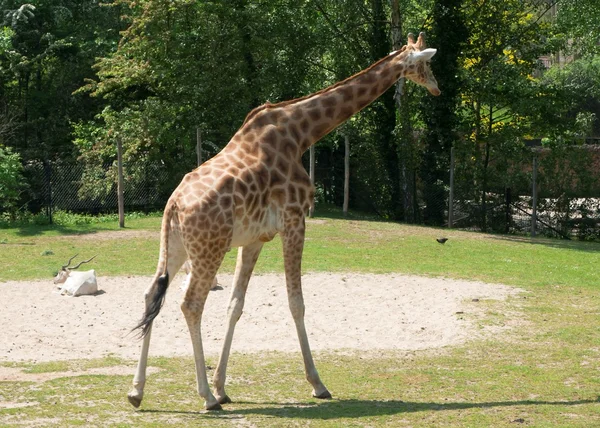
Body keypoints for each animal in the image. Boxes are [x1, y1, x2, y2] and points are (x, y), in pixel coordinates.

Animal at [127, 31, 440, 410]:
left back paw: (137, 391)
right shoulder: (295, 221)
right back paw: (205, 398)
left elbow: (236, 305)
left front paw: (222, 385)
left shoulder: (254, 239)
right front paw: (317, 384)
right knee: (190, 304)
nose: (437, 88)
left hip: (175, 246)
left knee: (150, 294)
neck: (303, 133)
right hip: (209, 248)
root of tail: (173, 204)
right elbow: (296, 303)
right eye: (426, 64)